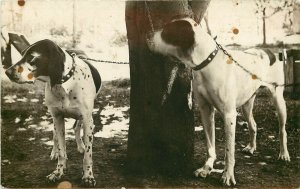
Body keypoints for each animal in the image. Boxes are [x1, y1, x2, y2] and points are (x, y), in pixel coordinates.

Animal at [5, 39, 101, 187]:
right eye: (22, 54)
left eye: (32, 58)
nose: (7, 72)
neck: (65, 84)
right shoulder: (58, 117)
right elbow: (61, 150)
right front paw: (58, 172)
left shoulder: (87, 120)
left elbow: (88, 156)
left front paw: (88, 176)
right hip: (55, 119)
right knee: (55, 135)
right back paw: (55, 152)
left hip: (82, 118)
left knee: (76, 128)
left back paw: (80, 146)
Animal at [149, 18, 290, 186]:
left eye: (166, 31)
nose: (147, 37)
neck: (206, 63)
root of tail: (269, 51)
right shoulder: (206, 110)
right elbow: (210, 145)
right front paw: (206, 168)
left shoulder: (229, 115)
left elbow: (229, 151)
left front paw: (227, 175)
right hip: (247, 103)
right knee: (253, 125)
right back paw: (251, 147)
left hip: (278, 99)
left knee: (282, 130)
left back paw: (284, 154)